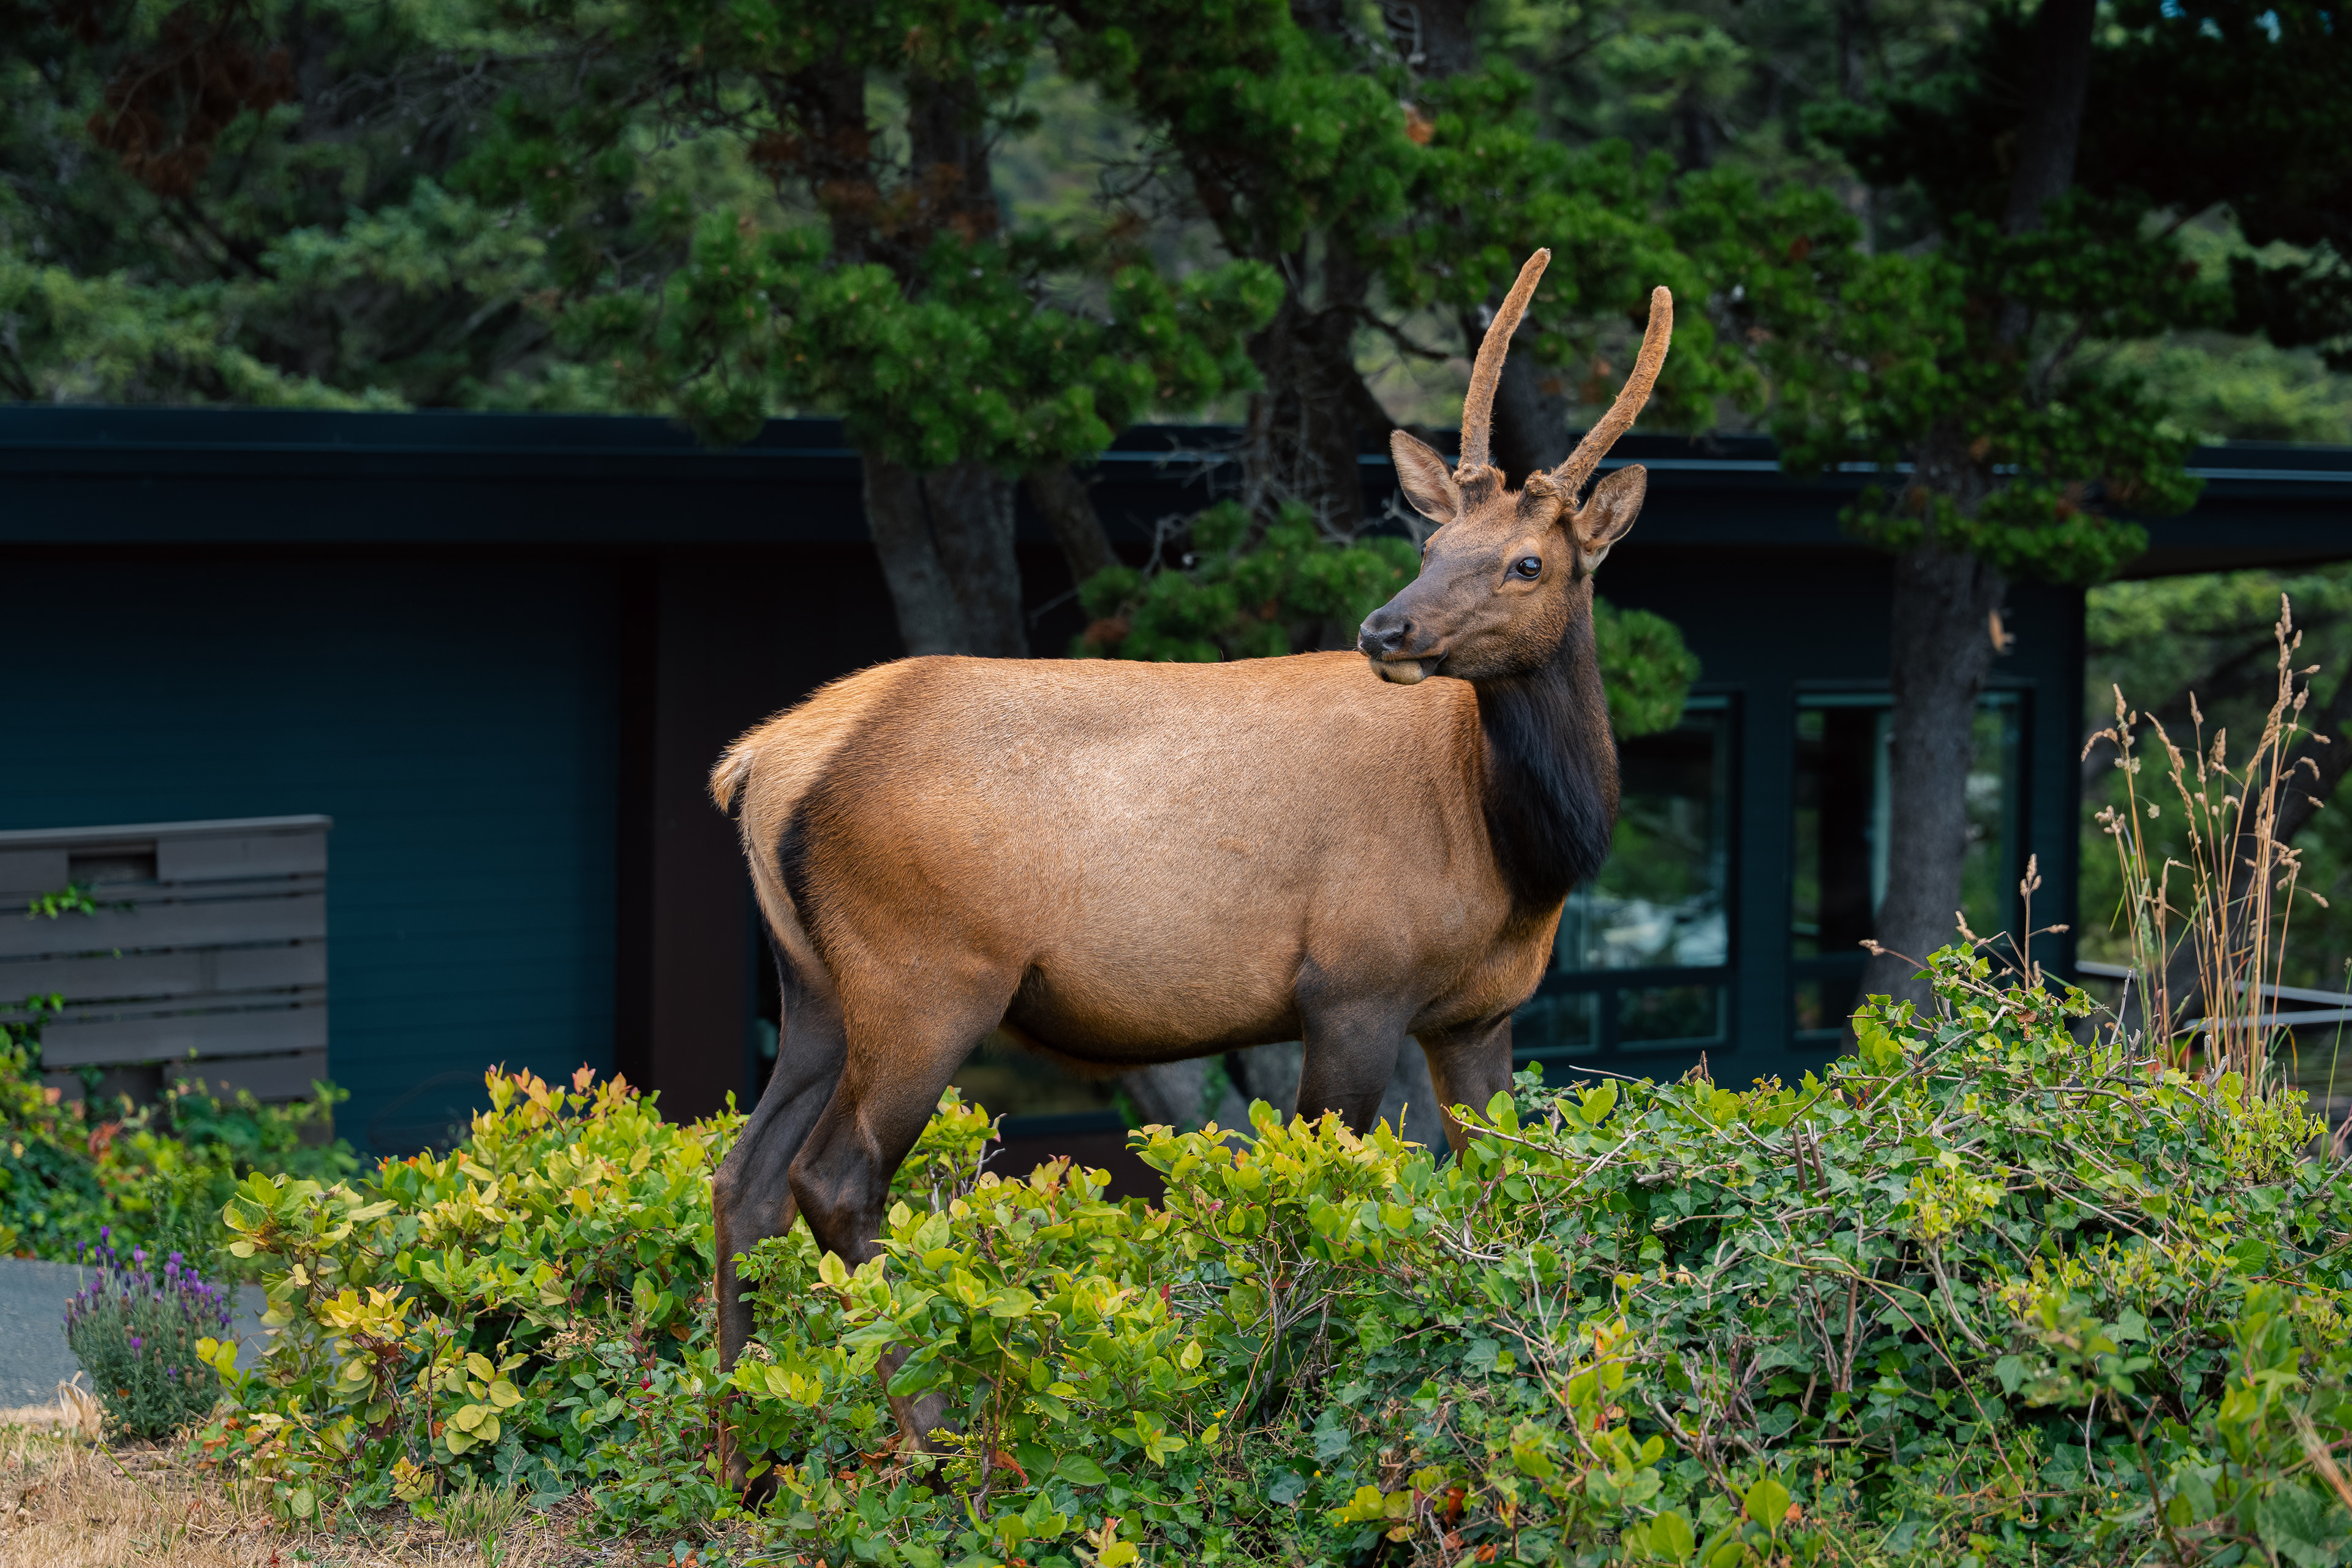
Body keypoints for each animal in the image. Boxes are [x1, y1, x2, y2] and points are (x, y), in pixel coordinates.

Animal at [707, 249, 1671, 1474]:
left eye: (1526, 561)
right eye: (1429, 545)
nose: (1387, 631)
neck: (1516, 846)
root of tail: (762, 763)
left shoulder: (1479, 1012)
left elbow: (1496, 1185)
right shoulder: (1350, 986)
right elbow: (1310, 1202)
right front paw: (1284, 1405)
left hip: (818, 986)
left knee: (741, 1179)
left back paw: (741, 1451)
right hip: (926, 975)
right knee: (834, 1177)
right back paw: (941, 1439)